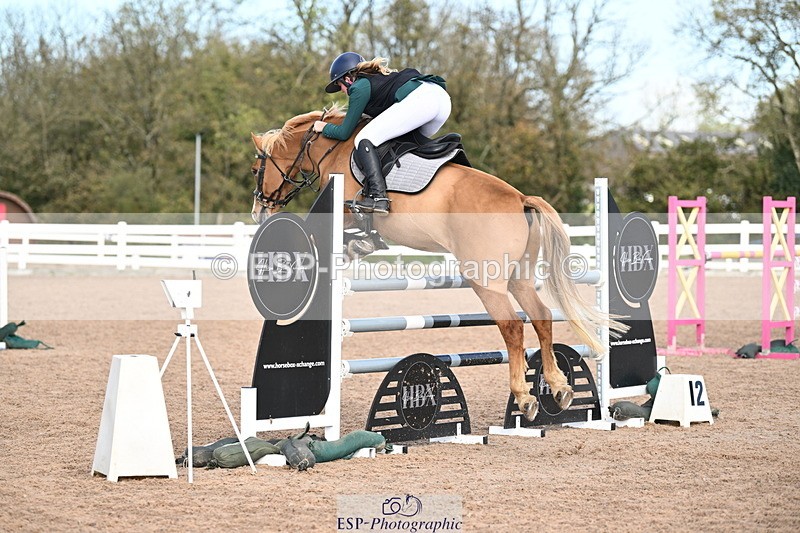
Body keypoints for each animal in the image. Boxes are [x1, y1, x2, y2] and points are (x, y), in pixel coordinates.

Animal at [250, 107, 623, 421]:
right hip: (519, 277)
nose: (259, 212)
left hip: (485, 279)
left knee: (513, 327)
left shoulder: (344, 211)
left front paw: (350, 247)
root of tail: (520, 199)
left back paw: (525, 396)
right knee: (542, 318)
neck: (334, 147)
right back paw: (559, 387)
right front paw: (360, 245)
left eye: (256, 170)